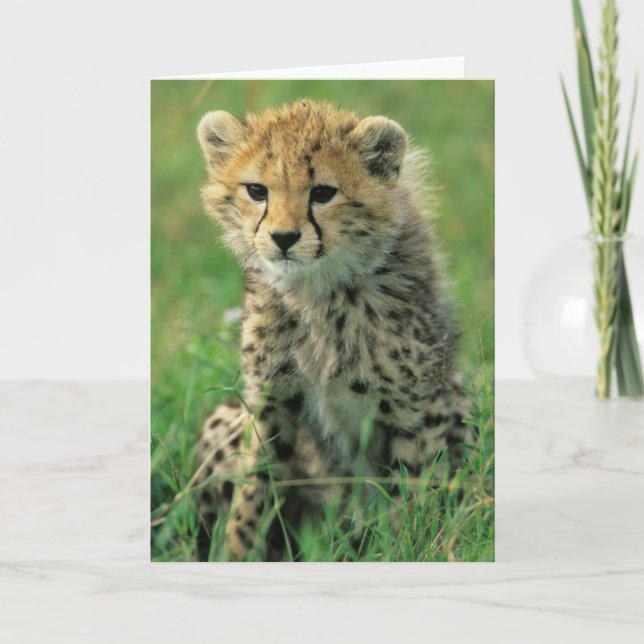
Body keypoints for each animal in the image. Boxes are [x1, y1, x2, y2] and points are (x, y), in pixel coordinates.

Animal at [194, 99, 472, 561]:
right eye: (257, 191)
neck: (317, 292)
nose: (283, 238)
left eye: (323, 193)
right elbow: (254, 490)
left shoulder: (417, 406)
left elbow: (414, 494)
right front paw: (237, 554)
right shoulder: (270, 399)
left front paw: (413, 551)